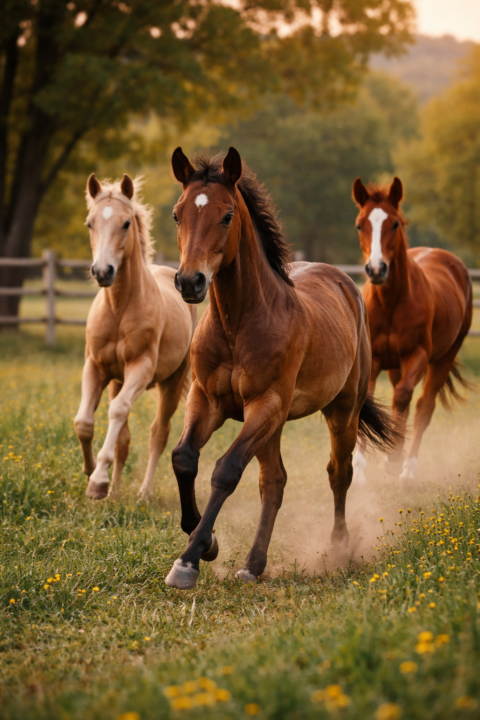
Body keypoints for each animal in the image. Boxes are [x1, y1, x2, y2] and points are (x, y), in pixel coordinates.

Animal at [74, 173, 196, 501]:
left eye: (126, 223)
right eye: (89, 223)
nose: (103, 272)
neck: (119, 308)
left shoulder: (140, 369)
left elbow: (118, 412)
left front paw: (98, 481)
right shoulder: (95, 367)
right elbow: (84, 422)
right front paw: (93, 474)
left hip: (170, 384)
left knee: (158, 433)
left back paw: (144, 493)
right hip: (117, 381)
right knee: (124, 439)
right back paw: (115, 492)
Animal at [164, 147, 397, 590]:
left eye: (227, 215)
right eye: (177, 214)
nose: (189, 282)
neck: (238, 324)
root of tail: (344, 281)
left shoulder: (265, 403)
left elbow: (225, 471)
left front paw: (188, 560)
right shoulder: (207, 399)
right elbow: (184, 457)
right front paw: (209, 543)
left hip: (340, 412)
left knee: (338, 473)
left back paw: (338, 548)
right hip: (273, 425)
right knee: (274, 481)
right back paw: (253, 564)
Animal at [351, 177, 472, 485]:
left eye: (395, 223)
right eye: (360, 224)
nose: (377, 269)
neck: (390, 303)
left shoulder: (416, 355)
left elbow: (404, 396)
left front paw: (394, 460)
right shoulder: (375, 360)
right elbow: (369, 400)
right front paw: (359, 468)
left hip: (442, 359)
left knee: (422, 408)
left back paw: (407, 469)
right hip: (395, 365)